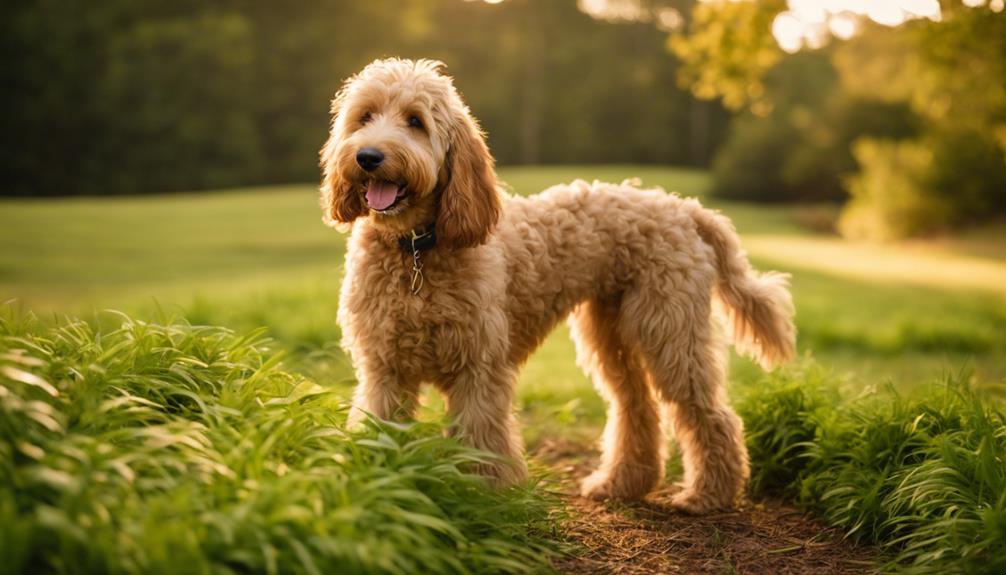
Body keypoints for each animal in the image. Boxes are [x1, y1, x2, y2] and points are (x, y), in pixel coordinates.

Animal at [319, 58, 792, 510]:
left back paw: (708, 495)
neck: (416, 250)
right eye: (364, 116)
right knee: (637, 408)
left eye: (416, 121)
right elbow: (377, 425)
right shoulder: (384, 368)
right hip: (613, 336)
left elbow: (481, 437)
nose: (368, 156)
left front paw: (482, 495)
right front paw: (378, 479)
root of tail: (685, 209)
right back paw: (621, 484)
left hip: (671, 332)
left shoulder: (479, 369)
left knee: (708, 412)